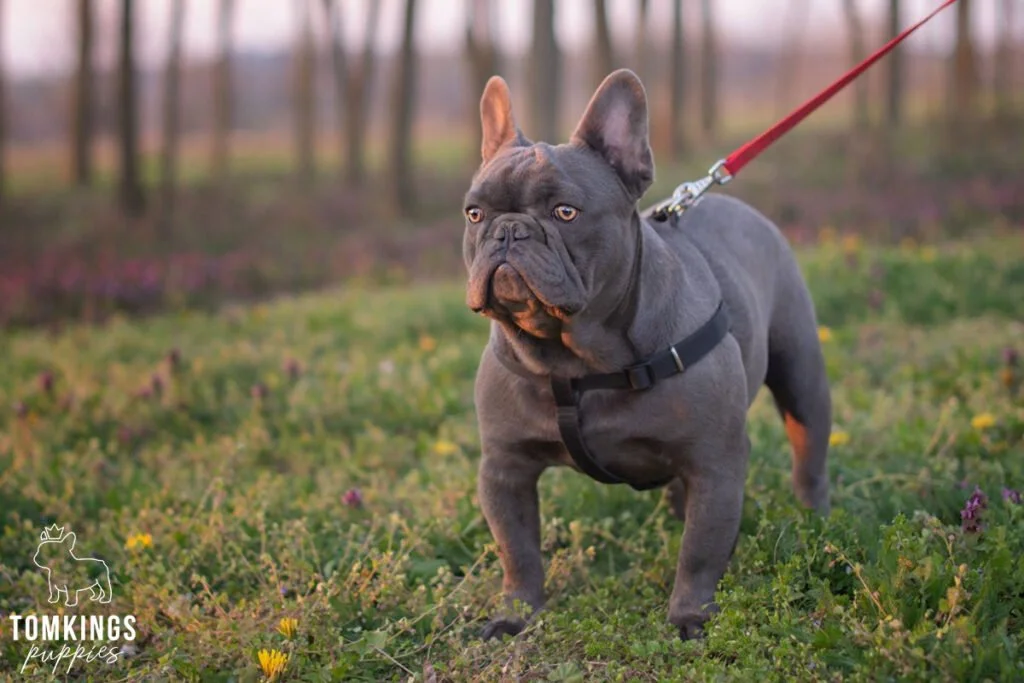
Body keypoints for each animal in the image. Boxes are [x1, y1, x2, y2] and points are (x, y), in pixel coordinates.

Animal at [464, 68, 831, 643]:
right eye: (475, 213)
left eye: (565, 213)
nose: (509, 229)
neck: (575, 361)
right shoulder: (505, 467)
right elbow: (517, 550)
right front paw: (515, 615)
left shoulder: (716, 462)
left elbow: (701, 550)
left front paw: (690, 617)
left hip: (802, 380)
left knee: (808, 455)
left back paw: (818, 521)